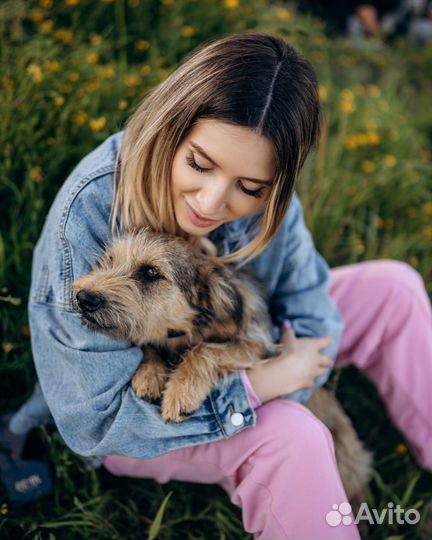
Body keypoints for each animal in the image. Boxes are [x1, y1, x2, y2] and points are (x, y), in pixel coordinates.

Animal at [71, 227, 372, 502]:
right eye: (109, 260)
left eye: (151, 273)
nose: (84, 297)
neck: (191, 327)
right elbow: (151, 343)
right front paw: (149, 375)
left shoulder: (260, 346)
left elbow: (204, 350)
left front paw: (180, 393)